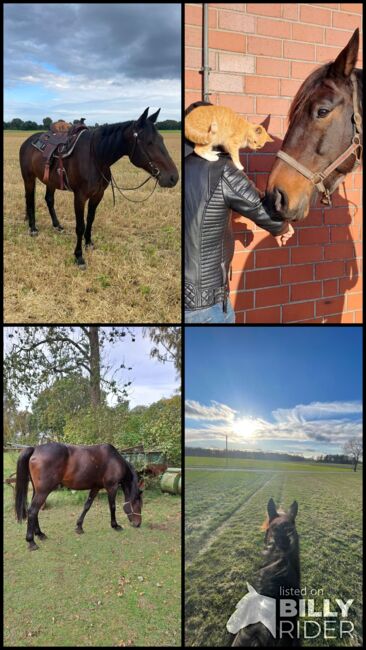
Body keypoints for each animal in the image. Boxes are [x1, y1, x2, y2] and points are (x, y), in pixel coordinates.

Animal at [14, 440, 144, 548]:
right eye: (138, 504)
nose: (138, 524)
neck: (114, 460)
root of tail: (35, 449)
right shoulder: (112, 487)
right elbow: (112, 507)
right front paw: (115, 525)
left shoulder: (95, 487)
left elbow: (87, 506)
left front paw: (79, 527)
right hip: (43, 491)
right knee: (32, 510)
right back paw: (31, 542)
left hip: (38, 491)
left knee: (34, 511)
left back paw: (40, 534)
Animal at [18, 106, 179, 266]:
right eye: (148, 142)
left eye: (161, 139)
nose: (173, 177)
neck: (96, 157)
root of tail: (28, 141)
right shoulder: (80, 197)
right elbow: (80, 226)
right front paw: (79, 256)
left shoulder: (97, 195)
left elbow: (90, 219)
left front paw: (88, 243)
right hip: (29, 178)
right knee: (30, 200)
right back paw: (33, 228)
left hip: (50, 182)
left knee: (49, 200)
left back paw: (57, 225)